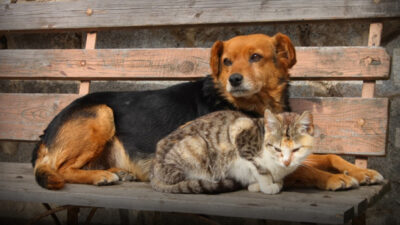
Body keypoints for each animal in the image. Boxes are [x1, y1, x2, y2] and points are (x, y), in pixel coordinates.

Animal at [149, 110, 312, 194]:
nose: (287, 161)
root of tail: (153, 170)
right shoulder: (240, 131)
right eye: (277, 148)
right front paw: (267, 186)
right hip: (196, 146)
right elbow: (260, 170)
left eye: (296, 149)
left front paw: (270, 183)